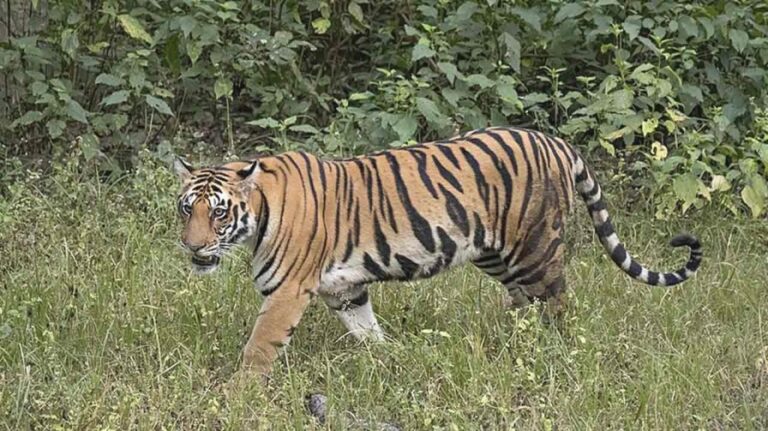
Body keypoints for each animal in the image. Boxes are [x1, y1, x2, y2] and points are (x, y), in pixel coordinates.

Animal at [173, 126, 702, 377]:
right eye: (185, 209)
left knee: (557, 305)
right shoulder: (344, 289)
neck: (258, 214)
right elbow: (367, 330)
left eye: (218, 213)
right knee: (524, 303)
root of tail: (555, 141)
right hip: (496, 253)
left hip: (534, 249)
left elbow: (259, 348)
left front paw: (240, 395)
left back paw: (554, 351)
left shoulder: (287, 292)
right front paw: (390, 359)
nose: (192, 247)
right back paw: (509, 342)